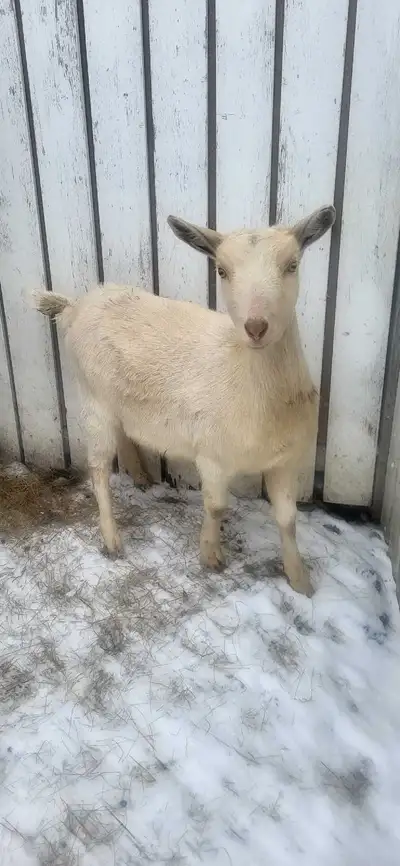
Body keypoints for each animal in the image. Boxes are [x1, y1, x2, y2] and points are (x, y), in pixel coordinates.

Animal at [34, 205, 335, 596]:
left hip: (119, 404)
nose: (256, 327)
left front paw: (301, 581)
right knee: (98, 468)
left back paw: (142, 478)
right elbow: (217, 505)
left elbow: (287, 520)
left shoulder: (285, 461)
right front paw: (210, 556)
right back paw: (112, 540)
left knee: (125, 436)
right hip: (93, 399)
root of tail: (76, 305)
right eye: (222, 270)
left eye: (292, 265)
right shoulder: (212, 454)